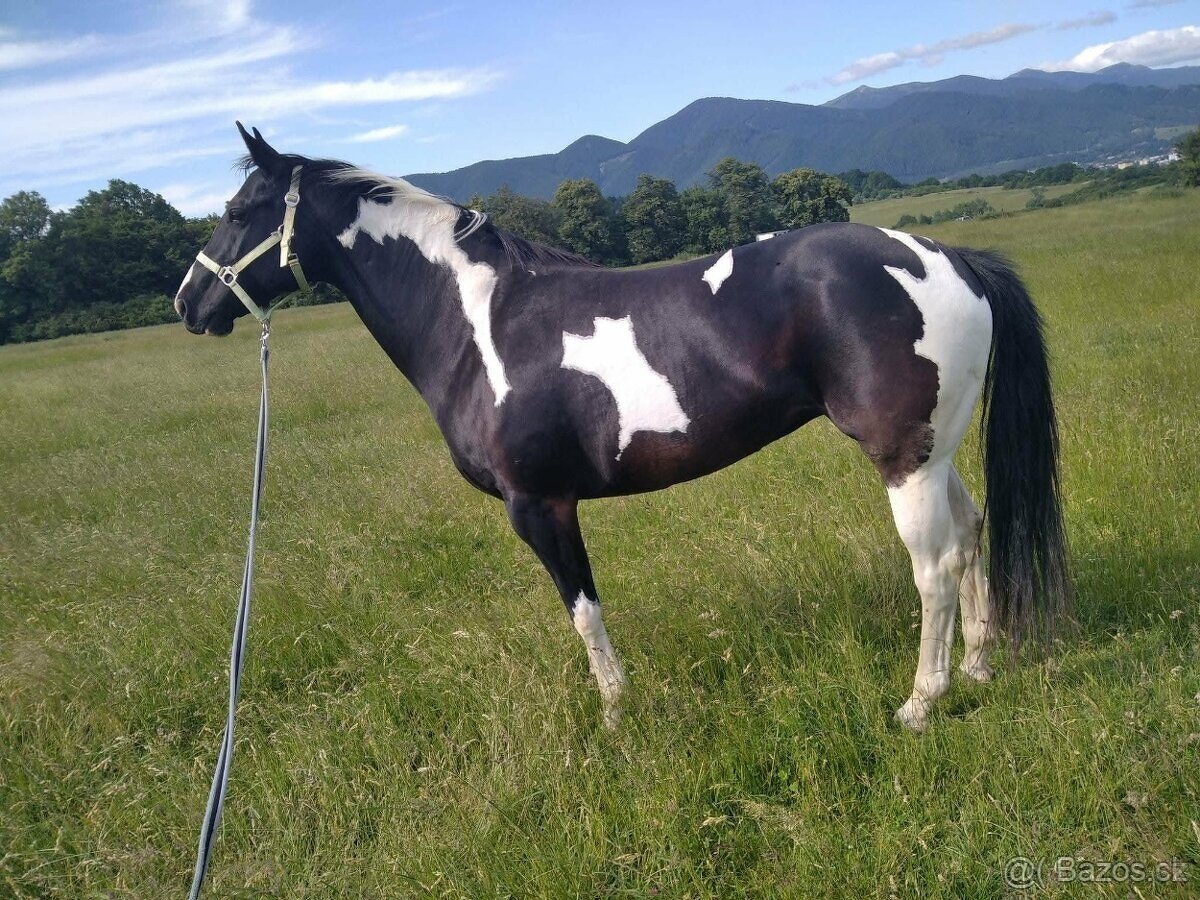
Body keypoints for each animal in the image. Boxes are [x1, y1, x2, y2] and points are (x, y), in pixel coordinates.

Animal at [175, 124, 1068, 731]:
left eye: (240, 210)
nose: (188, 302)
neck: (477, 325)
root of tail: (945, 255)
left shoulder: (539, 507)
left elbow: (584, 611)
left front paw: (615, 714)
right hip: (934, 449)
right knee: (974, 534)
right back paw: (979, 668)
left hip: (901, 458)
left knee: (936, 566)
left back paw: (922, 700)